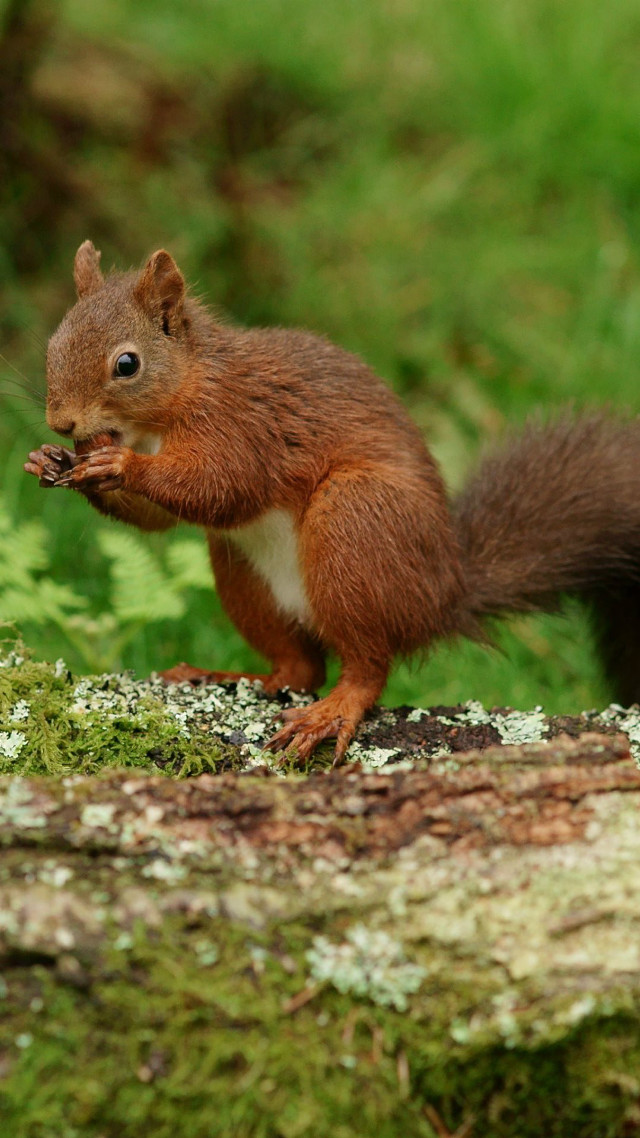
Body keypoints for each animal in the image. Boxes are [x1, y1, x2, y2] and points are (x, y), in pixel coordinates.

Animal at [24, 240, 640, 763]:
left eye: (126, 364)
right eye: (52, 345)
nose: (62, 422)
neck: (175, 397)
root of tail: (446, 594)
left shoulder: (242, 424)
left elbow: (220, 485)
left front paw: (120, 466)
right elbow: (156, 520)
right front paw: (49, 460)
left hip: (355, 522)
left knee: (366, 666)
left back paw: (332, 712)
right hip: (244, 575)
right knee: (298, 669)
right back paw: (232, 679)